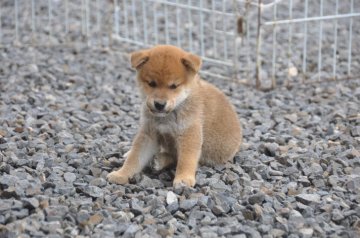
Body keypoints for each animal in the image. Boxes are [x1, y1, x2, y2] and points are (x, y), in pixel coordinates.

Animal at [107, 44, 242, 186]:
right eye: (152, 83)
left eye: (173, 86)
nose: (159, 104)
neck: (167, 117)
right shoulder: (149, 134)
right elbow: (135, 158)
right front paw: (121, 174)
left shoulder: (189, 134)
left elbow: (186, 160)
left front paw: (183, 178)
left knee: (175, 157)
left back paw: (160, 160)